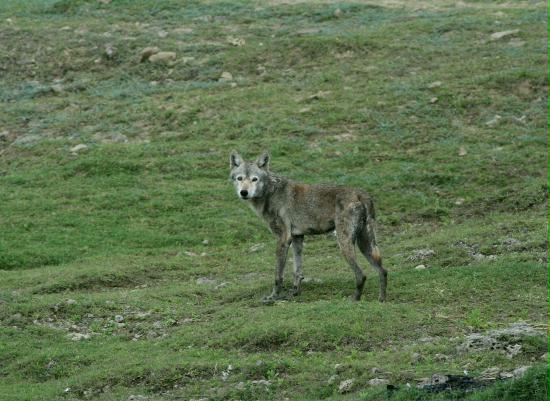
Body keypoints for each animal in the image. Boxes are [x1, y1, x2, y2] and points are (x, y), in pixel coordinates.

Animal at [229, 151, 388, 304]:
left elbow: (278, 275)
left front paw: (273, 297)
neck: (271, 192)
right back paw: (381, 300)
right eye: (240, 178)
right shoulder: (297, 238)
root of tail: (360, 193)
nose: (244, 192)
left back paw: (355, 300)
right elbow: (297, 271)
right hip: (365, 245)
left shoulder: (283, 239)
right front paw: (294, 293)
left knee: (361, 275)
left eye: (254, 179)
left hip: (344, 244)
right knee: (383, 271)